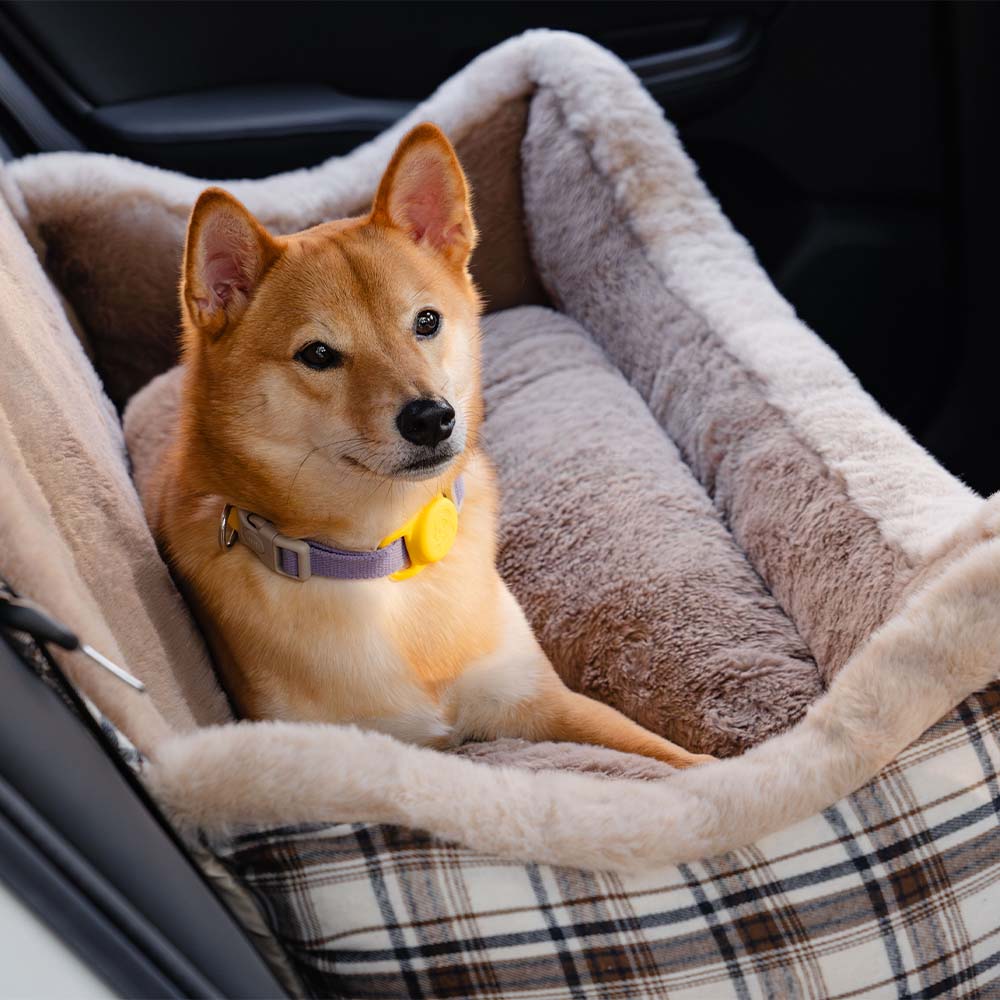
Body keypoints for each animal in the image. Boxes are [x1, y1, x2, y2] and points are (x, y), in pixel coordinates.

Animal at [148, 121, 712, 768]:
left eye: (425, 322)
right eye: (318, 354)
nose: (430, 418)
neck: (387, 559)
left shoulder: (540, 699)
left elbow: (679, 762)